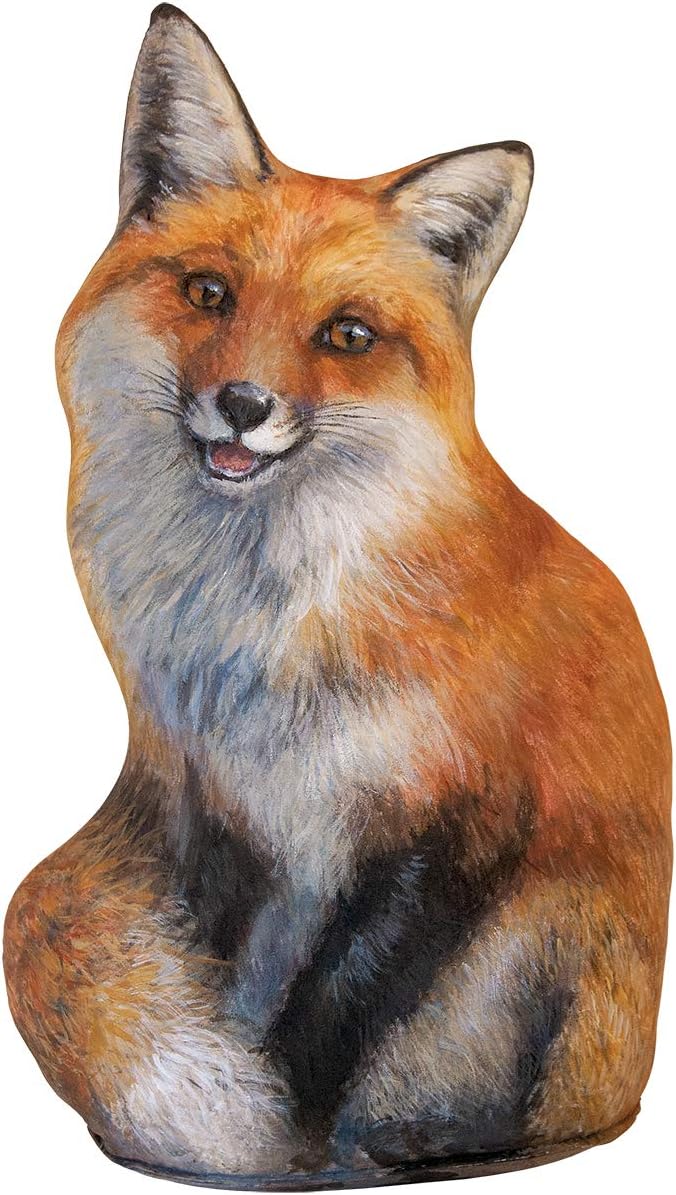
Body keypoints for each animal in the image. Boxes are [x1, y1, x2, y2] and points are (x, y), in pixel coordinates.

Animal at [3, 3, 672, 1188]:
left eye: (346, 336)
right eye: (210, 293)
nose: (243, 402)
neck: (260, 633)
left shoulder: (453, 823)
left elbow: (335, 1018)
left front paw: (298, 1147)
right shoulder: (210, 807)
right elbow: (237, 991)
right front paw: (247, 1133)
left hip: (565, 923)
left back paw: (431, 1140)